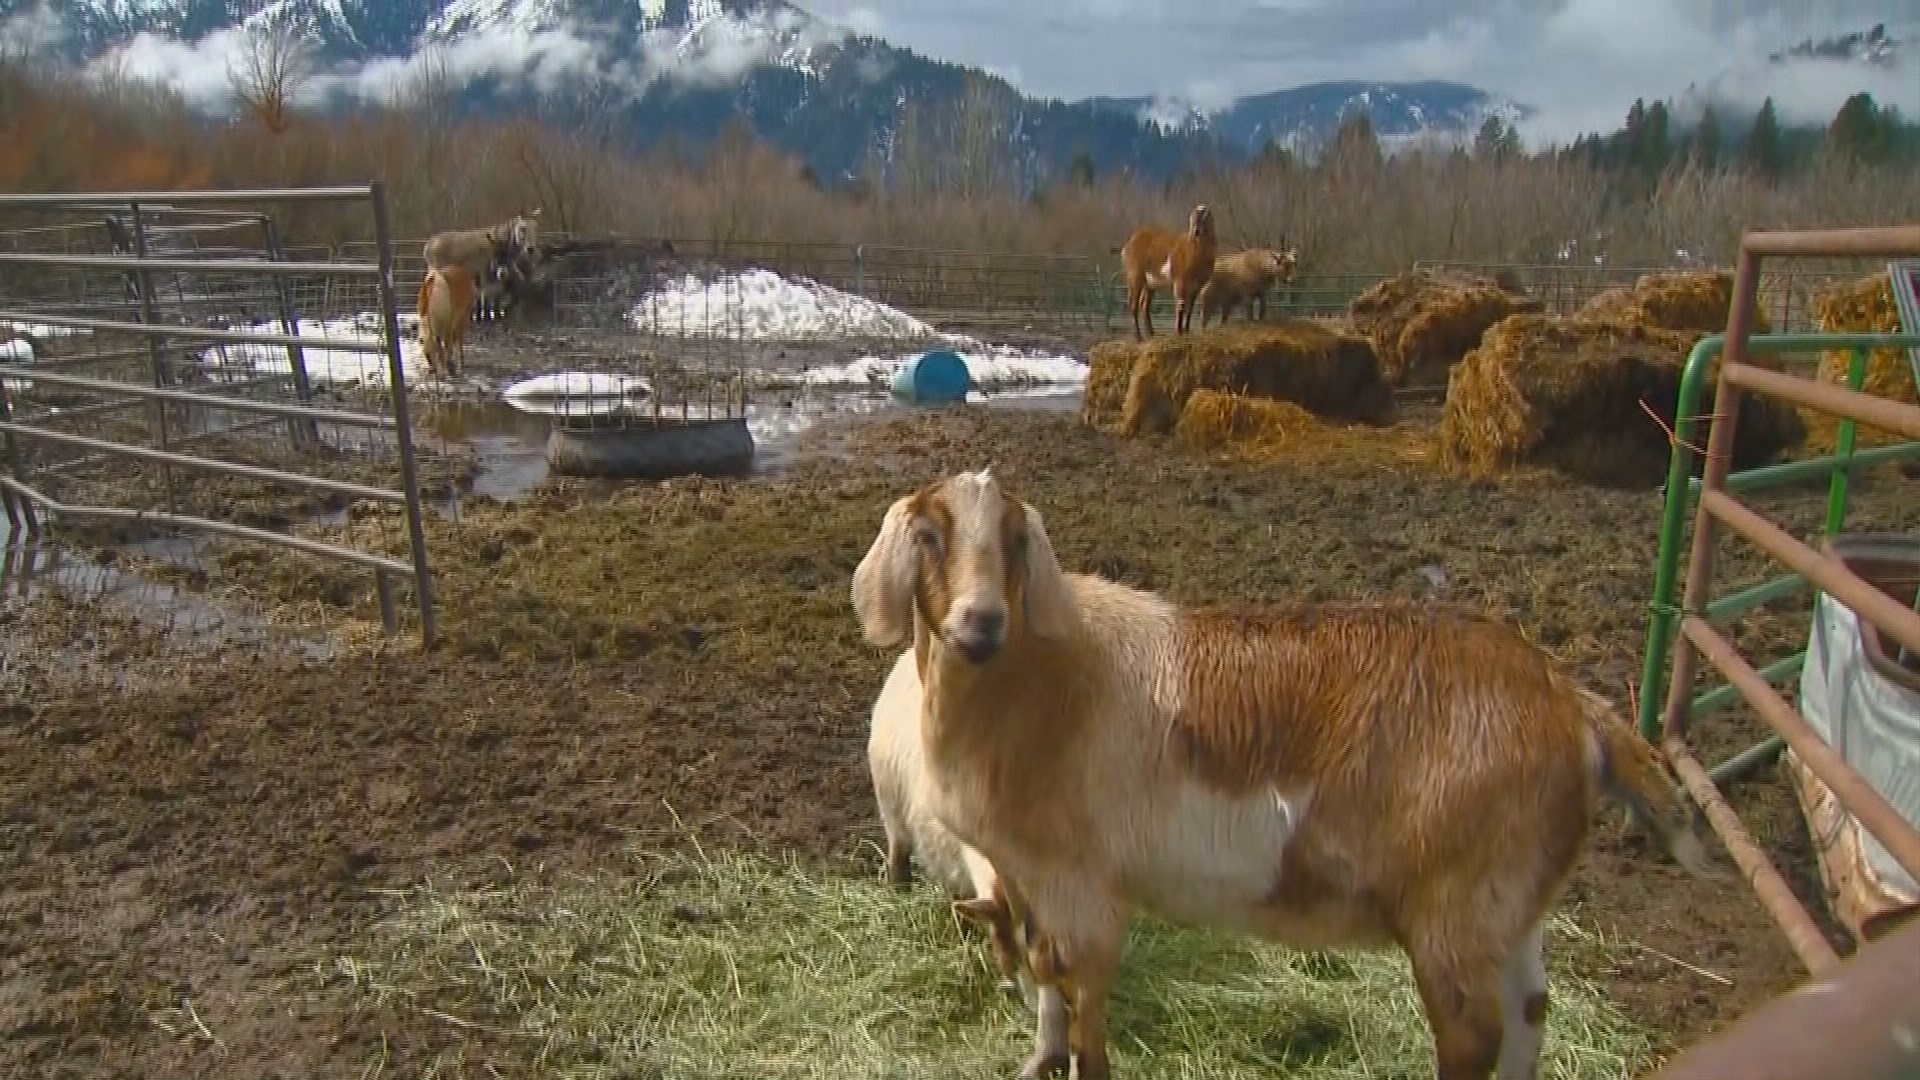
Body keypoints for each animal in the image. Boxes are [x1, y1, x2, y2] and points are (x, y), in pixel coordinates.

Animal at [848, 466, 1720, 1076]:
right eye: (928, 536)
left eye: (1015, 539)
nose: (982, 623)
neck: (1034, 682)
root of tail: (1572, 705)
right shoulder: (1028, 879)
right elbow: (1044, 979)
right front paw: (1037, 1058)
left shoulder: (1080, 881)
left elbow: (1085, 998)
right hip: (1510, 903)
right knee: (1532, 1014)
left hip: (1454, 908)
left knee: (1474, 1035)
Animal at [1113, 201, 1213, 336]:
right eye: (1193, 218)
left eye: (1205, 218)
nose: (1196, 231)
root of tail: (1129, 244)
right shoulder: (1179, 281)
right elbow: (1180, 305)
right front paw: (1179, 332)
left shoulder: (1197, 285)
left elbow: (1190, 307)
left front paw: (1186, 331)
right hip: (1134, 275)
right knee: (1133, 304)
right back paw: (1139, 337)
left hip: (1150, 282)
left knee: (1144, 304)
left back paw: (1151, 334)